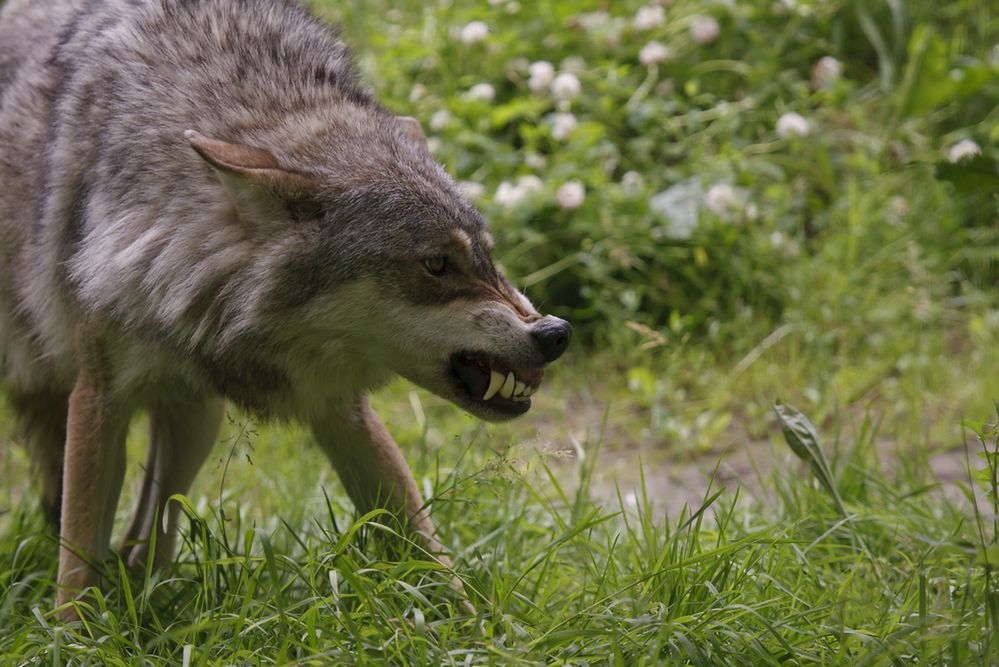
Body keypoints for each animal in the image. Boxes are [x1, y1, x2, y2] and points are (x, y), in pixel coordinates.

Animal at [0, 0, 576, 620]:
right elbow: (76, 562)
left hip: (196, 418)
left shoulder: (338, 403)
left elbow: (424, 545)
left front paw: (480, 630)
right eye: (437, 265)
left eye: (488, 256)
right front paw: (73, 633)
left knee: (147, 533)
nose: (555, 332)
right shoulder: (98, 396)